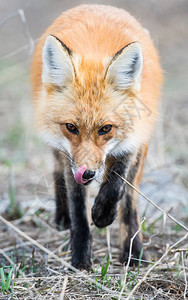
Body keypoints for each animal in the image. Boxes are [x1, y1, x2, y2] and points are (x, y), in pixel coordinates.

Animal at [31, 4, 162, 270]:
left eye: (106, 128)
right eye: (71, 127)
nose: (87, 174)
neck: (95, 51)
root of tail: (98, 6)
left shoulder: (132, 139)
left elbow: (115, 188)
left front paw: (103, 215)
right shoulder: (70, 157)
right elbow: (78, 208)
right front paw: (80, 257)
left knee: (130, 202)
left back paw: (133, 251)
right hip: (60, 153)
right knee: (57, 173)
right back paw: (62, 218)